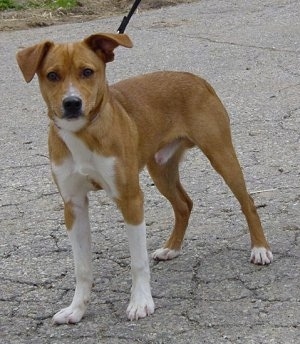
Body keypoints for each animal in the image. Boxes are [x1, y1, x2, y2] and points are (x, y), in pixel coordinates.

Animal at [17, 32, 274, 322]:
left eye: (87, 72)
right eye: (52, 75)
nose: (72, 103)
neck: (84, 133)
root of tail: (195, 78)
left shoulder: (130, 199)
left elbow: (137, 262)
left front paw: (140, 302)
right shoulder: (74, 205)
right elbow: (82, 267)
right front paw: (76, 309)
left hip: (221, 155)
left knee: (247, 202)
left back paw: (260, 249)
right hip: (160, 169)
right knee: (184, 205)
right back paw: (172, 248)